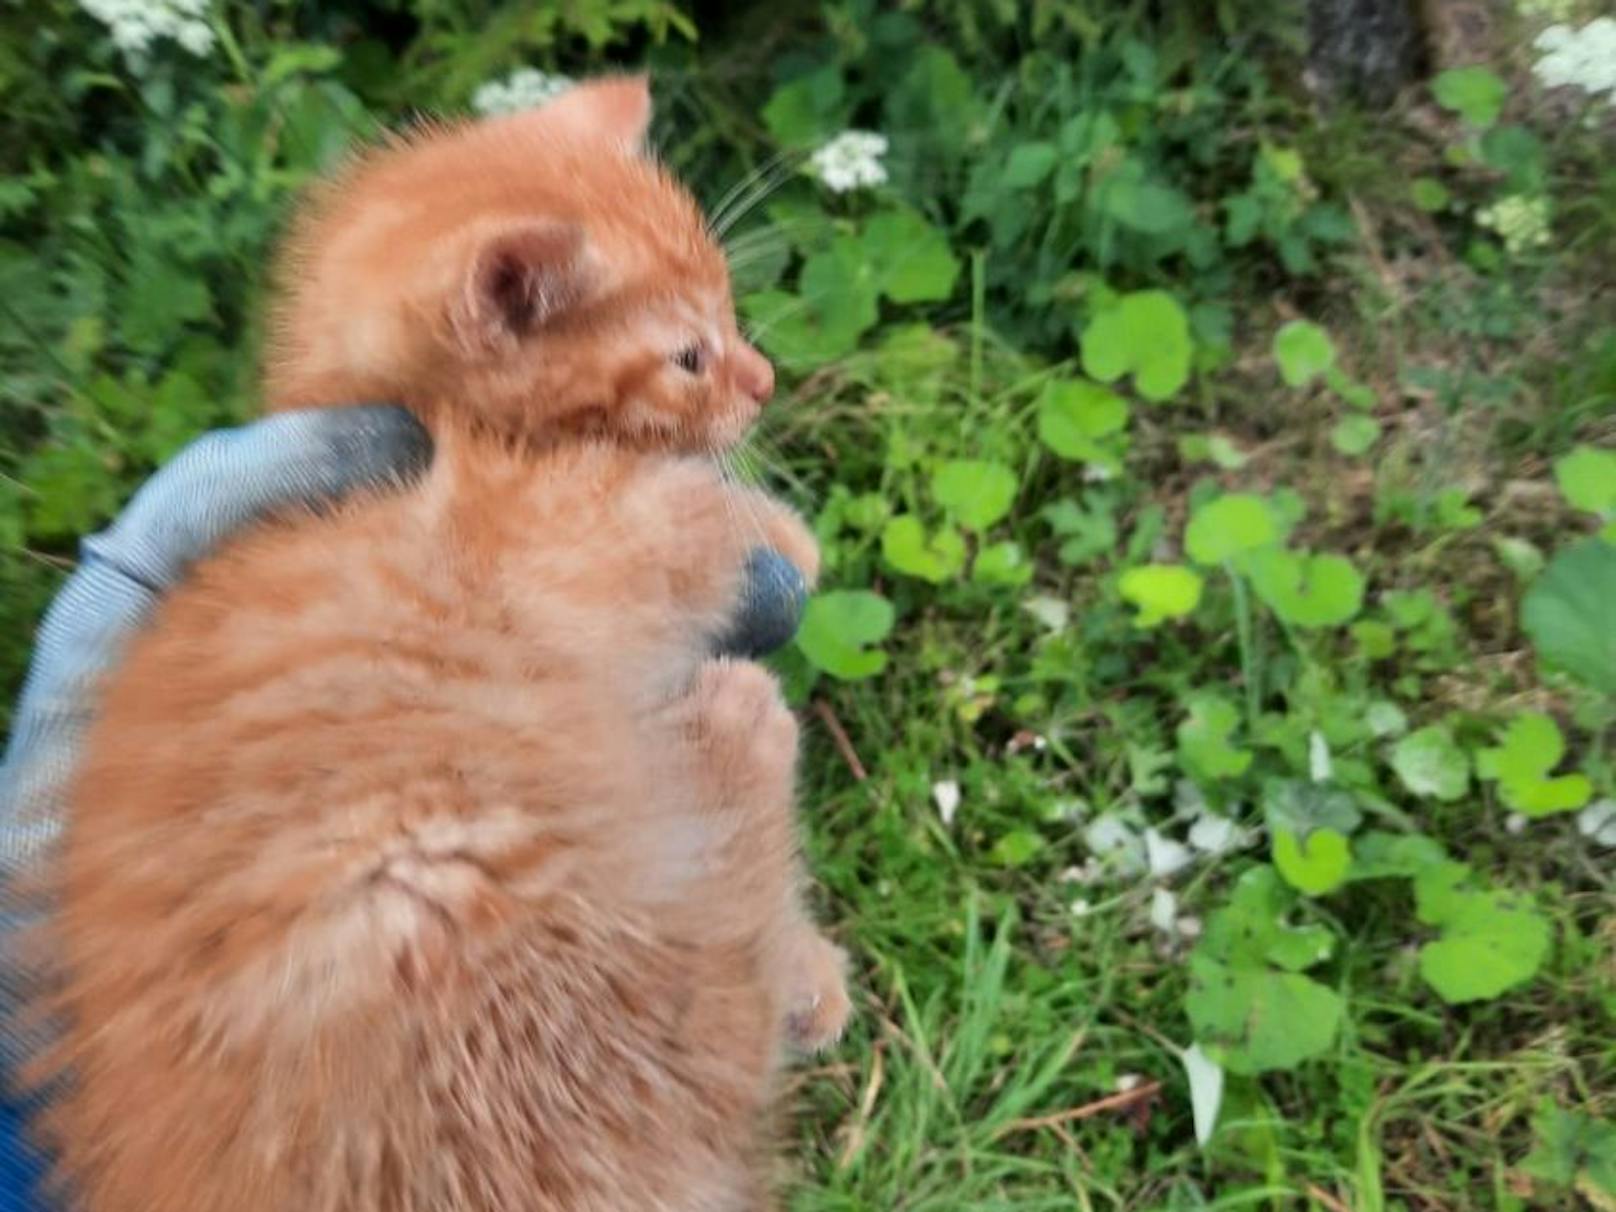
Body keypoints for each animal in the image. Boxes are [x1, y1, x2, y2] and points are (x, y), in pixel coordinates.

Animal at [31, 75, 853, 1212]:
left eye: (731, 310)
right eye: (690, 356)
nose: (765, 379)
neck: (455, 434)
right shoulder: (561, 540)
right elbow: (680, 511)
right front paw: (779, 533)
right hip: (451, 914)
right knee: (699, 1049)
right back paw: (739, 756)